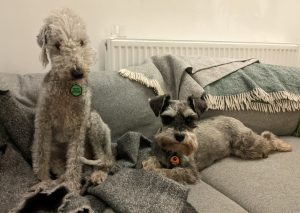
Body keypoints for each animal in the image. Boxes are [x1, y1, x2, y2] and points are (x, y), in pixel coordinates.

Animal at [31, 8, 113, 192]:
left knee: (105, 160)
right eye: (57, 45)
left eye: (82, 42)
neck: (67, 90)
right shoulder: (43, 121)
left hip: (95, 123)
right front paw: (44, 181)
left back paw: (97, 175)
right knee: (61, 167)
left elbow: (75, 158)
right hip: (56, 154)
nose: (78, 72)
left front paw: (72, 187)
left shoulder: (79, 125)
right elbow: (41, 155)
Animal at [142, 94, 292, 184]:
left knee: (267, 138)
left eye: (190, 119)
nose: (179, 136)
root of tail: (234, 119)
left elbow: (167, 172)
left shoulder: (190, 172)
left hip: (246, 145)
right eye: (166, 118)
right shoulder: (155, 155)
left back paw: (283, 145)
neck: (172, 150)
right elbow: (150, 162)